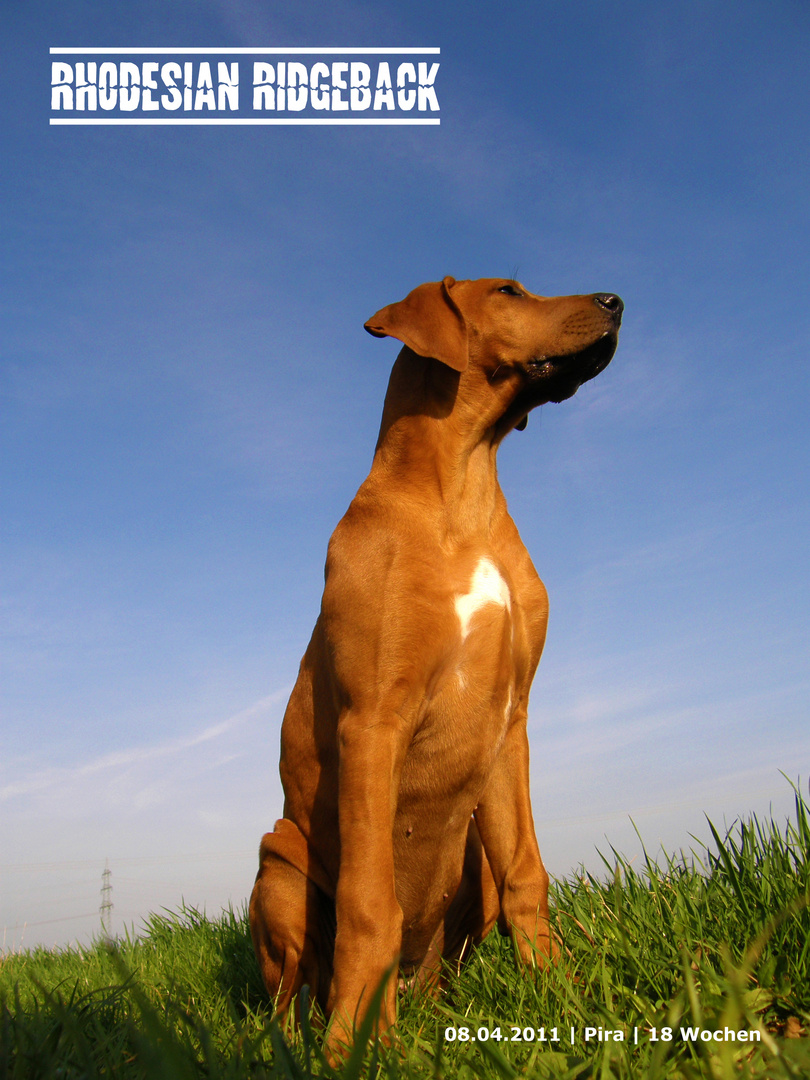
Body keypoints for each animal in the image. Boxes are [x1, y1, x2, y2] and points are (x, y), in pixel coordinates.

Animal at [250, 274, 626, 1049]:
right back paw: (312, 1033)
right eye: (507, 290)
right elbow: (370, 904)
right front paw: (355, 1045)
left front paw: (563, 998)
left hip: (468, 860)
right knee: (291, 990)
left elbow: (528, 876)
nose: (617, 303)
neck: (464, 490)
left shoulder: (511, 726)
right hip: (278, 862)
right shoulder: (373, 721)